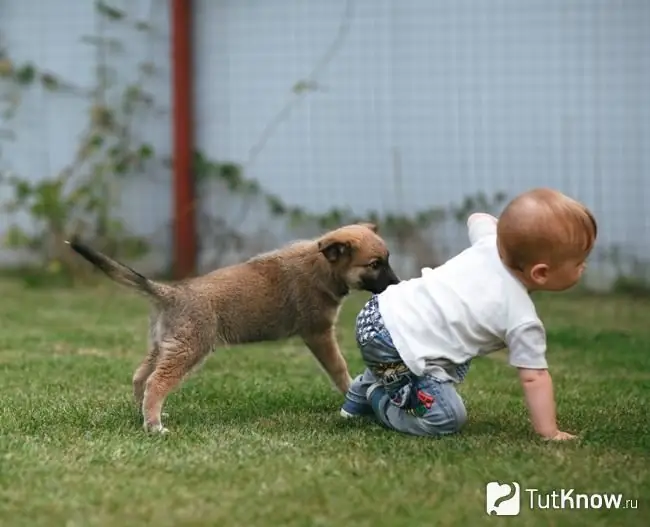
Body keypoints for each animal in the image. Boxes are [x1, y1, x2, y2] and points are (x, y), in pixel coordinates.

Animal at [67, 223, 400, 434]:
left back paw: (143, 415)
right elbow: (339, 368)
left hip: (164, 345)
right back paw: (154, 426)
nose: (398, 285)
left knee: (140, 376)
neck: (322, 265)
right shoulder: (318, 334)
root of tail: (170, 292)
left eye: (387, 260)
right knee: (156, 382)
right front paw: (350, 394)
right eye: (374, 264)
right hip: (189, 349)